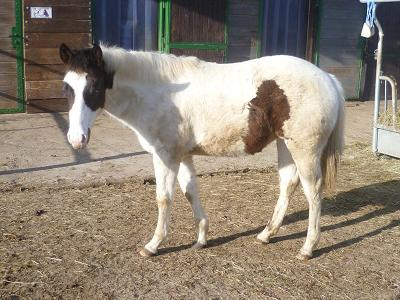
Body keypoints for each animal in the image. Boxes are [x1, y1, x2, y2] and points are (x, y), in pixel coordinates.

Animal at [58, 43, 344, 258]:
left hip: (305, 150)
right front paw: (201, 239)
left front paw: (153, 245)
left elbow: (164, 198)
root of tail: (328, 79)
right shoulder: (183, 156)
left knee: (313, 192)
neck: (159, 93)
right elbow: (190, 193)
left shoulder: (166, 156)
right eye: (67, 87)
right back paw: (266, 234)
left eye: (94, 86)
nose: (76, 139)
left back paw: (307, 248)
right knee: (288, 184)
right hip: (285, 144)